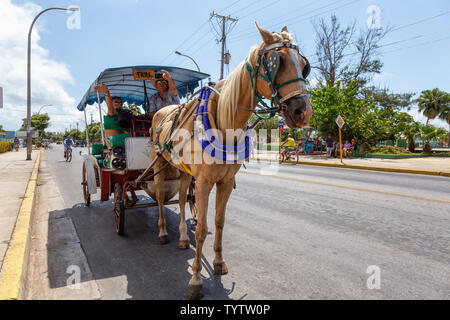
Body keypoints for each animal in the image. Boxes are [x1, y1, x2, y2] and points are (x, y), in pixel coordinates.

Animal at [151, 23, 312, 300]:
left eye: (303, 65)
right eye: (276, 62)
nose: (304, 111)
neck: (224, 120)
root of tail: (163, 112)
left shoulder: (225, 182)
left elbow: (219, 222)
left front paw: (218, 262)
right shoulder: (204, 182)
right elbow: (202, 229)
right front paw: (195, 280)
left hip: (184, 172)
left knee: (181, 199)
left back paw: (182, 238)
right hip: (161, 165)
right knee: (162, 199)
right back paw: (162, 231)